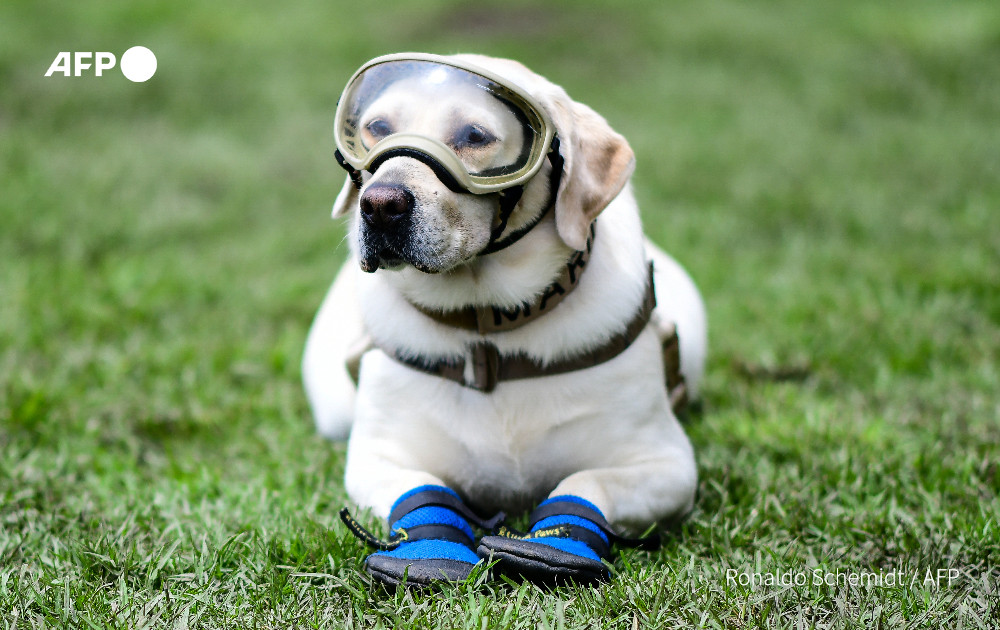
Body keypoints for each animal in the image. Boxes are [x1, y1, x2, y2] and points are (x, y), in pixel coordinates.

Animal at [302, 54, 704, 588]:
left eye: (475, 135)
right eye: (377, 128)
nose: (380, 204)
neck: (487, 329)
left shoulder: (667, 464)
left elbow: (586, 480)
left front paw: (556, 546)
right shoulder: (378, 457)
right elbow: (425, 490)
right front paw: (431, 550)